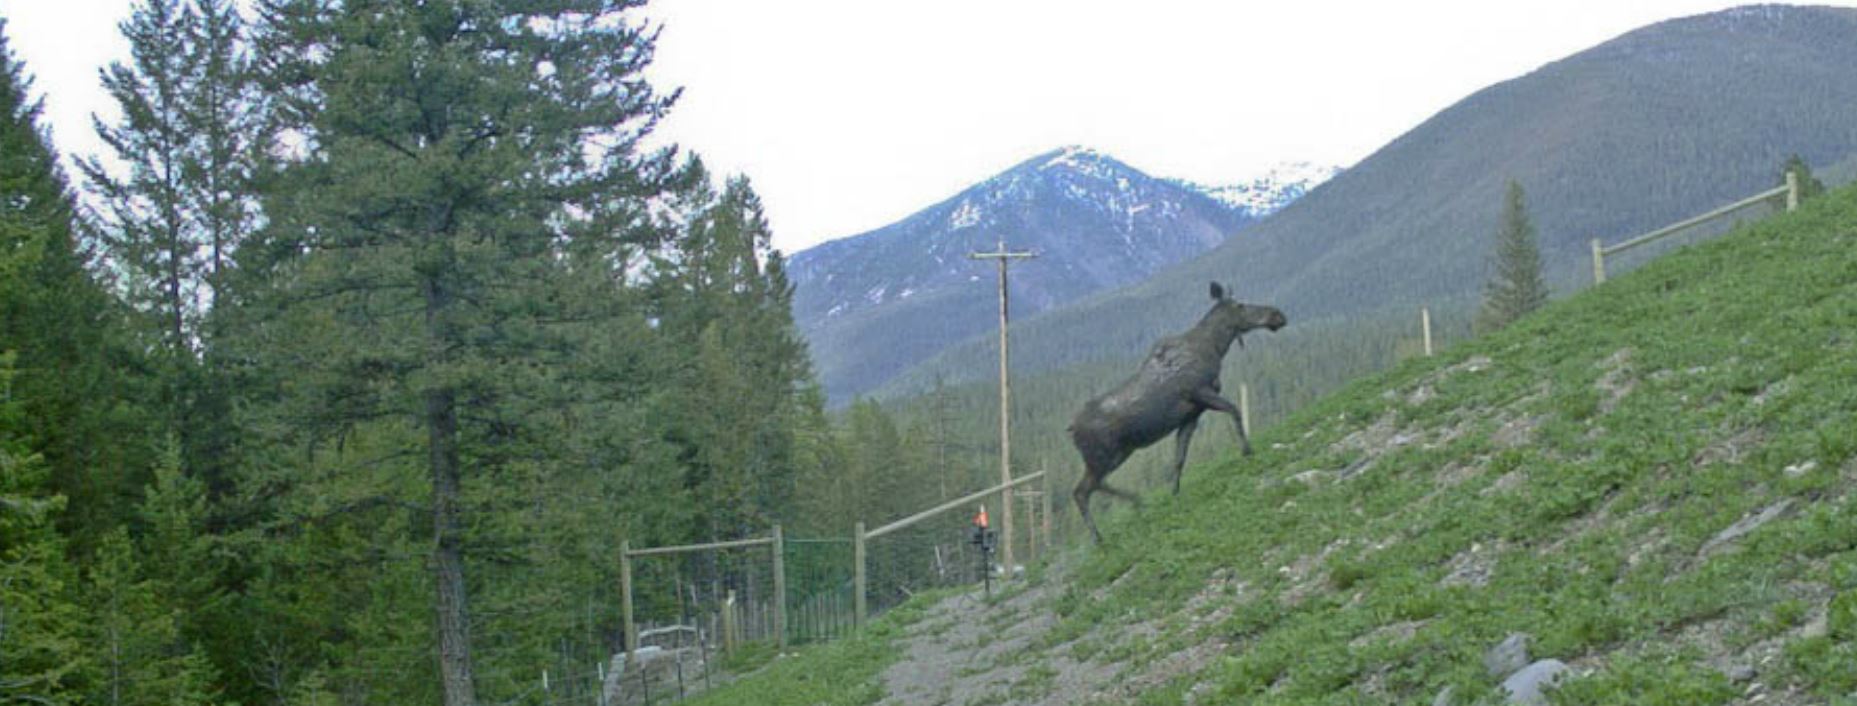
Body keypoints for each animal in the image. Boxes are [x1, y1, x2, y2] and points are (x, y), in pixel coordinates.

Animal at [1068, 282, 1287, 544]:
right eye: (1240, 305)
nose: (1277, 315)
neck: (1215, 347)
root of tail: (1071, 430)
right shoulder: (1201, 393)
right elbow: (1234, 410)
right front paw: (1246, 450)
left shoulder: (1192, 414)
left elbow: (1179, 457)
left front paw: (1174, 492)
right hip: (1105, 455)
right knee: (1082, 490)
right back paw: (1103, 532)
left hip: (1119, 452)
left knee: (1092, 486)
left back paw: (1134, 504)